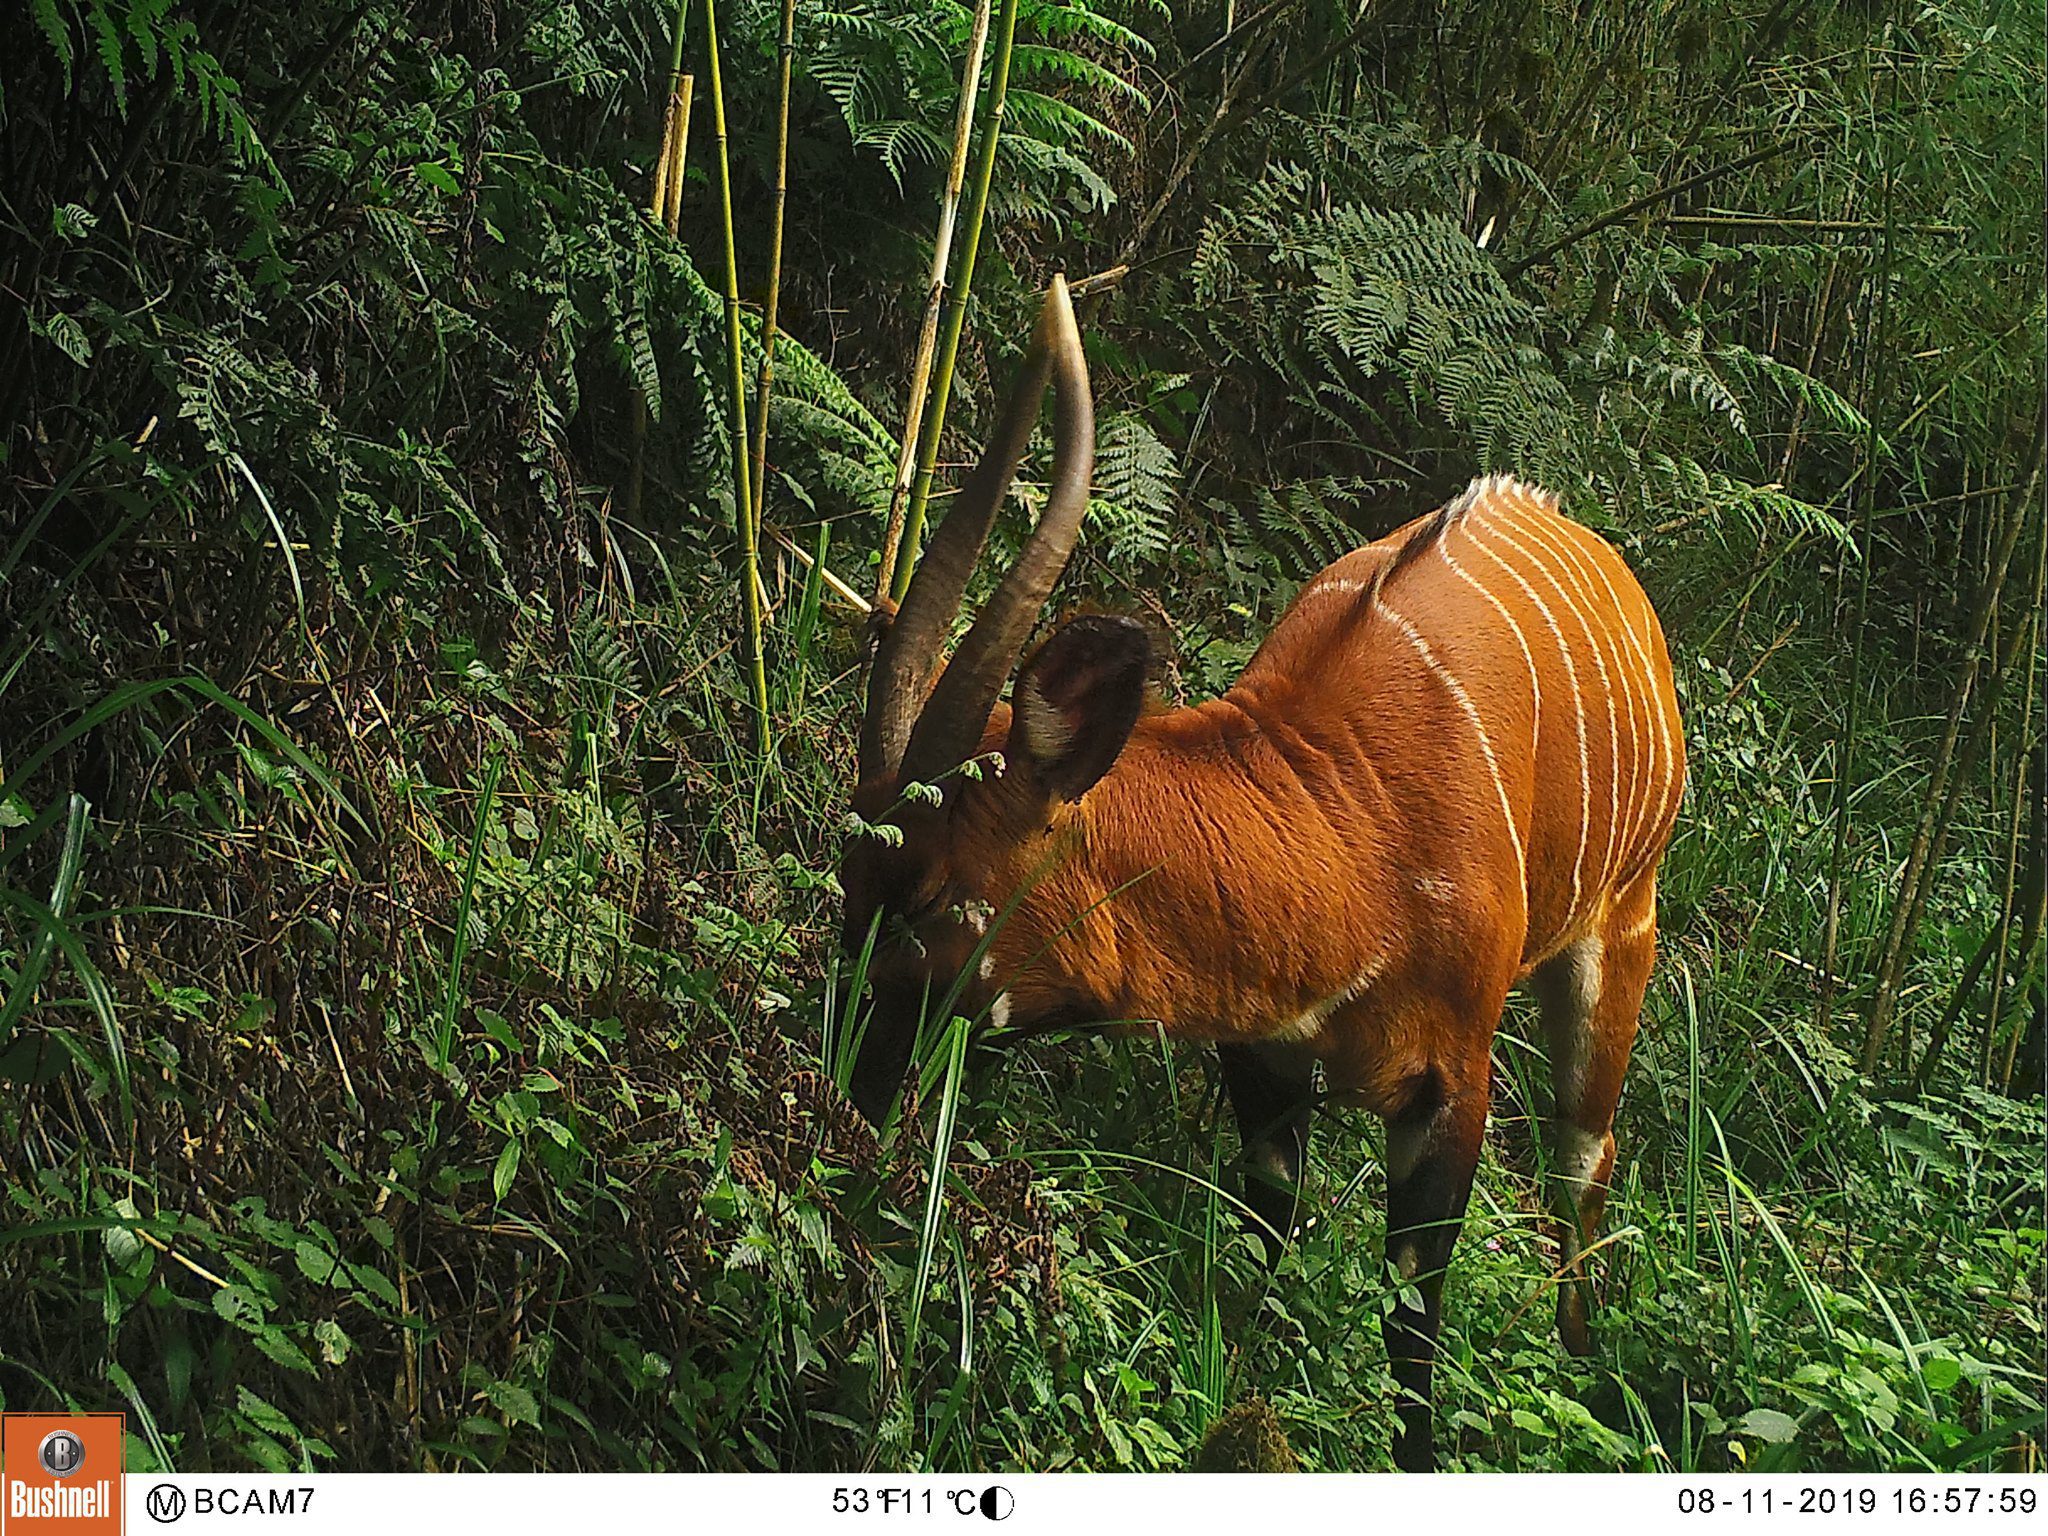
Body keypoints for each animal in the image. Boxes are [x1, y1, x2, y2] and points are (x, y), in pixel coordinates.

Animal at [841, 276, 1686, 1472]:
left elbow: (1411, 1324)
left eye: (922, 898)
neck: (1350, 837)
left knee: (1584, 1156)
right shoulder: (1266, 1058)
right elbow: (1265, 1242)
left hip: (1621, 930)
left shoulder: (1455, 1087)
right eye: (845, 882)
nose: (847, 1098)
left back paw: (1579, 1360)